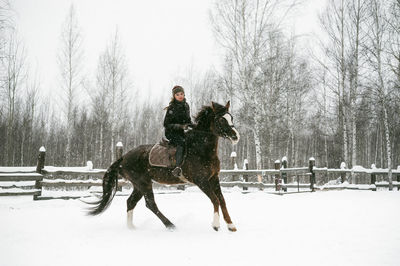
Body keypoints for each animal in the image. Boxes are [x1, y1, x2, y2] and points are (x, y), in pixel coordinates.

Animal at [87, 101, 239, 231]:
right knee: (150, 204)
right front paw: (216, 225)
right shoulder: (201, 181)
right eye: (221, 120)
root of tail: (123, 157)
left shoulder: (213, 178)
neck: (201, 149)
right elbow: (215, 200)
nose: (235, 136)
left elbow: (222, 200)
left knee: (131, 202)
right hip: (143, 183)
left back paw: (132, 228)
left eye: (231, 118)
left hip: (139, 185)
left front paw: (231, 225)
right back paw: (170, 225)